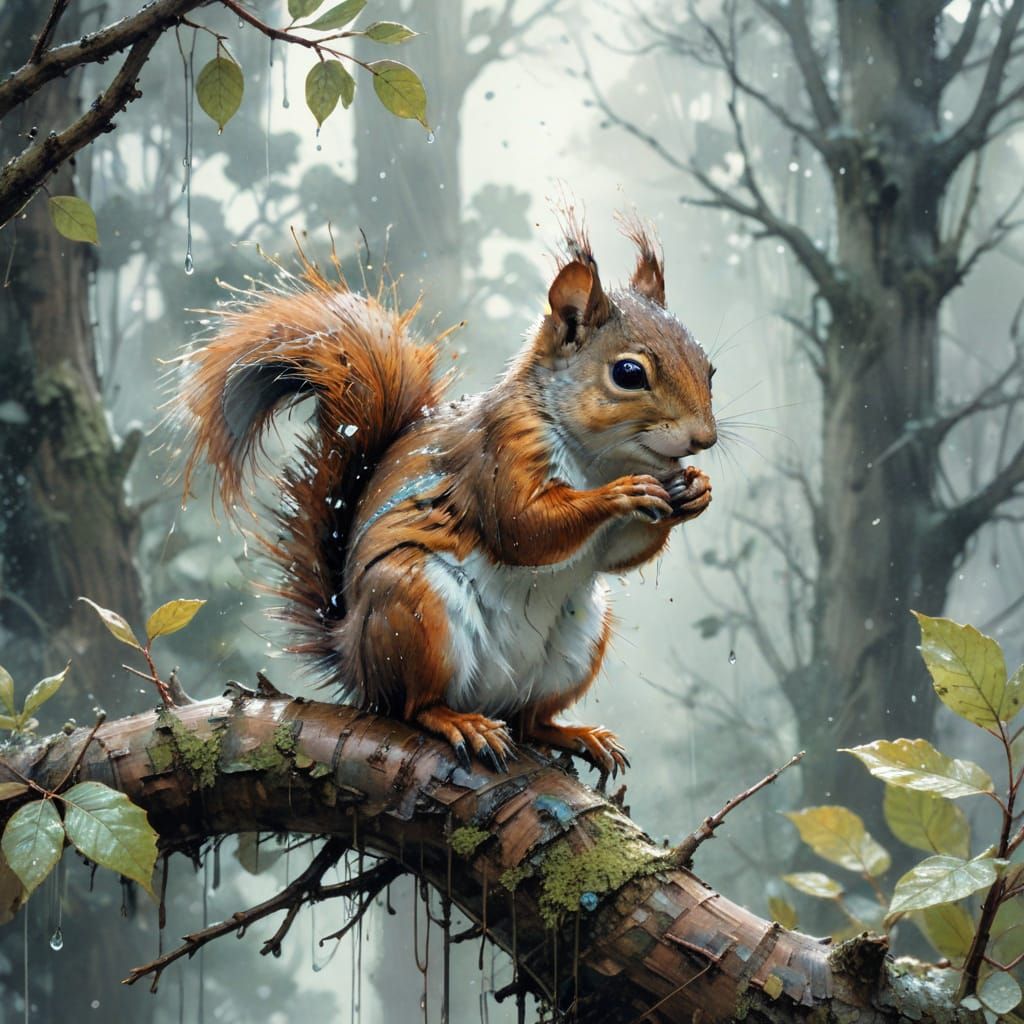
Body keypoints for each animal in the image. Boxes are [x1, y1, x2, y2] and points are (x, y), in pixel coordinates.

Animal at [179, 218, 716, 776]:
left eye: (710, 369)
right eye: (629, 374)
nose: (705, 439)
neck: (600, 458)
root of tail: (354, 660)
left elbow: (616, 554)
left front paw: (695, 490)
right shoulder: (498, 454)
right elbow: (521, 528)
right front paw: (622, 494)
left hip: (578, 641)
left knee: (531, 721)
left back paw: (576, 734)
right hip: (415, 609)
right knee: (414, 705)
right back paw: (459, 723)